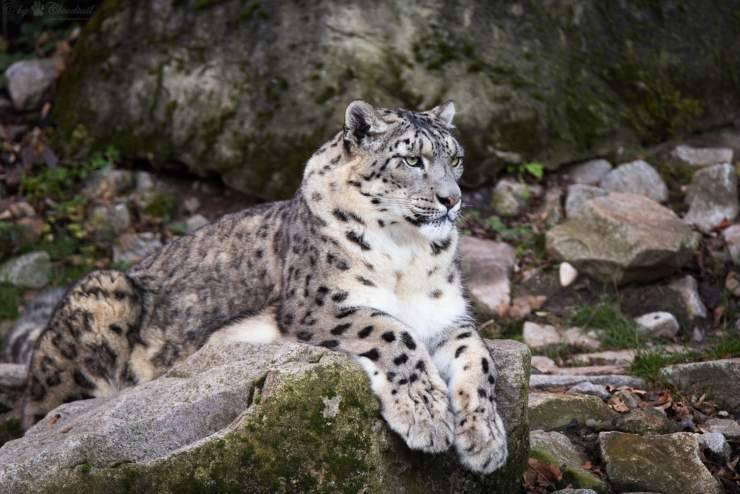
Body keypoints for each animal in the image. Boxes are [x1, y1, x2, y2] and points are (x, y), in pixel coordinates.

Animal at [20, 100, 506, 474]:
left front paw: (486, 440)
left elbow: (480, 359)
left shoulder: (446, 316)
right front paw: (426, 415)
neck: (408, 255)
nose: (452, 199)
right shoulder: (317, 305)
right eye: (411, 160)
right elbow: (393, 332)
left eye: (455, 158)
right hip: (103, 291)